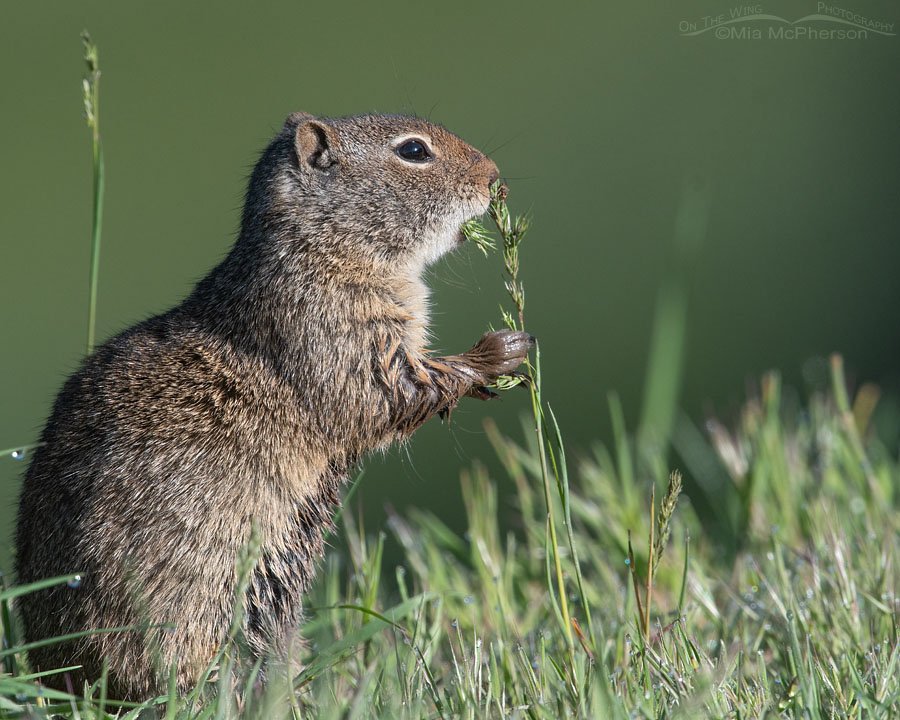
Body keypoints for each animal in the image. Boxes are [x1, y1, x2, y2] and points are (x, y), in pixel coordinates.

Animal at [14, 112, 533, 699]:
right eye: (414, 151)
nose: (494, 180)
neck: (320, 249)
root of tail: (54, 673)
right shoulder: (335, 328)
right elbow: (392, 391)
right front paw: (499, 352)